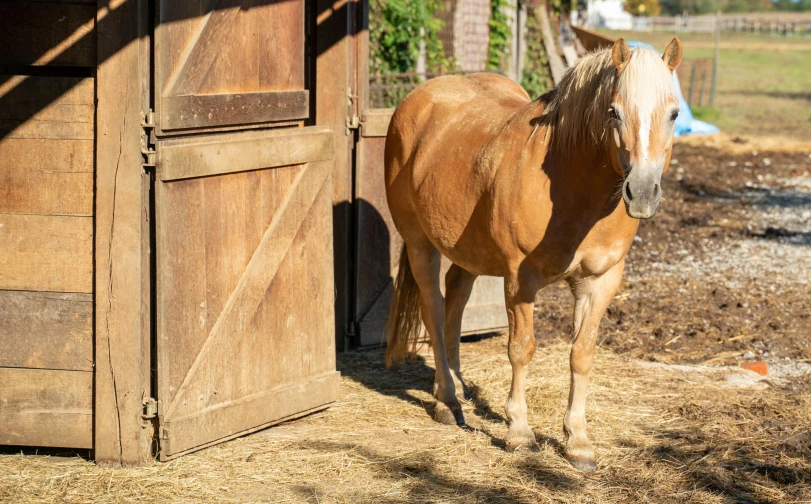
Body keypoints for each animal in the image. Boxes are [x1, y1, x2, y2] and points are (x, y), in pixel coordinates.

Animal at [384, 37, 680, 470]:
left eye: (674, 113)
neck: (572, 187)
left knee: (456, 297)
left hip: (467, 249)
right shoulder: (520, 280)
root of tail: (418, 99)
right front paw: (520, 433)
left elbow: (582, 354)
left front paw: (578, 441)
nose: (641, 193)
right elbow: (521, 349)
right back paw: (447, 400)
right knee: (434, 310)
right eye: (613, 112)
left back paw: (457, 384)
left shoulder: (600, 282)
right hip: (421, 243)